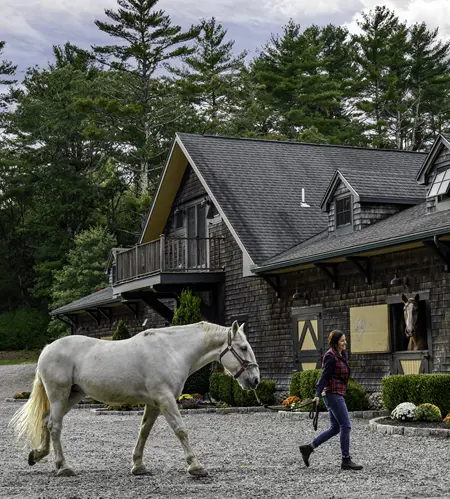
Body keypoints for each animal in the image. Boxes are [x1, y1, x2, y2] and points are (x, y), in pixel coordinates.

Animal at [8, 322, 258, 478]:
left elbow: (143, 432)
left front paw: (138, 466)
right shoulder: (166, 400)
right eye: (243, 347)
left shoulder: (154, 404)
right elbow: (181, 430)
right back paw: (63, 467)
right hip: (59, 395)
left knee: (46, 420)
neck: (171, 350)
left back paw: (37, 455)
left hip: (72, 395)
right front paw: (196, 467)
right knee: (55, 426)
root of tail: (48, 348)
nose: (255, 380)